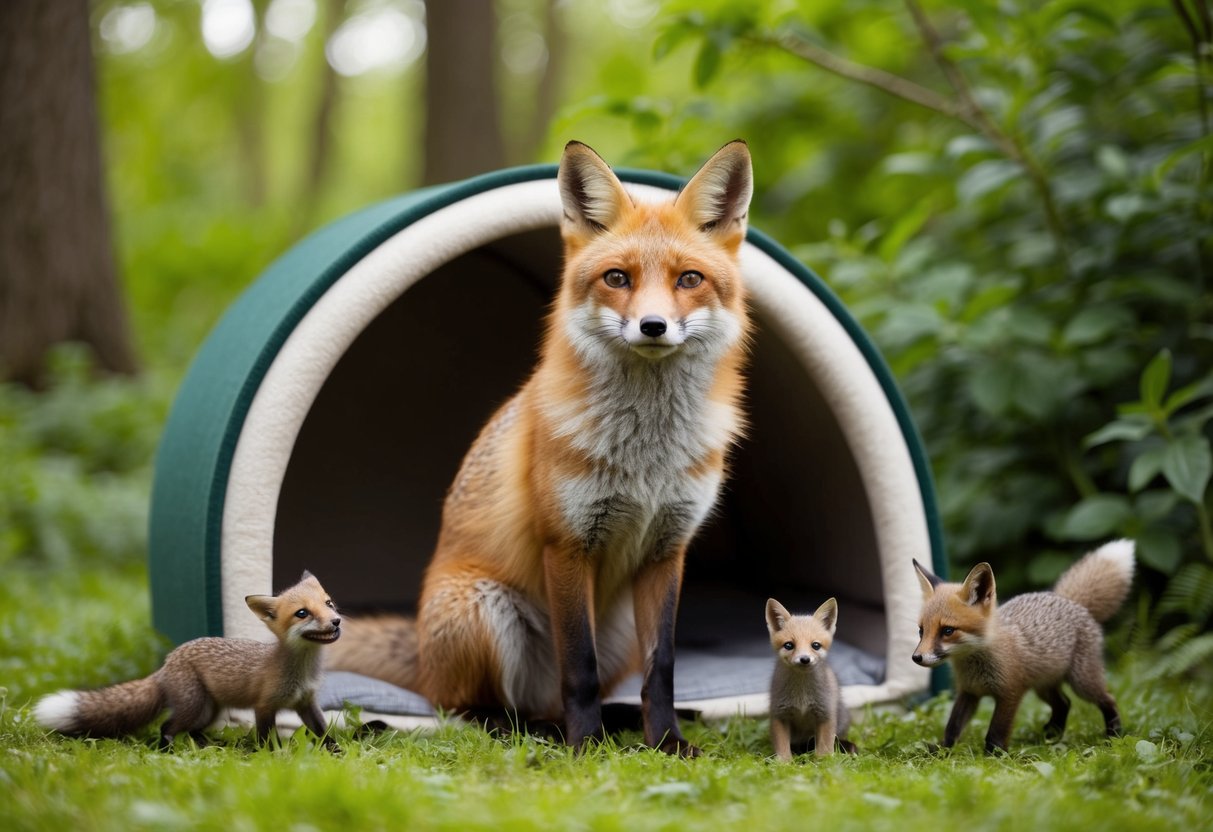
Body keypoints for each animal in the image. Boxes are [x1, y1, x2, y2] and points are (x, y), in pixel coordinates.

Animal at [35, 571, 342, 751]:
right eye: (302, 613)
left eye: (328, 604)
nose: (336, 621)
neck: (301, 671)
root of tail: (167, 662)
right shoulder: (264, 706)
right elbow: (268, 738)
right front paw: (273, 757)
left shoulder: (306, 703)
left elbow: (323, 732)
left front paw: (336, 753)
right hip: (194, 706)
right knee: (167, 727)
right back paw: (167, 749)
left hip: (209, 711)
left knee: (193, 731)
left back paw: (211, 747)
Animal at [326, 140, 754, 755]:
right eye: (617, 277)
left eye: (689, 278)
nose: (652, 326)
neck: (646, 456)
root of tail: (424, 658)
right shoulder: (567, 544)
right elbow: (579, 666)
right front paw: (586, 747)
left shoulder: (667, 550)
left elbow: (664, 669)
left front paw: (668, 743)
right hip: (486, 610)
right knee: (472, 711)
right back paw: (541, 733)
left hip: (618, 628)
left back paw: (610, 721)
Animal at [765, 597, 856, 759]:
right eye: (789, 645)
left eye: (815, 645)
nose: (805, 659)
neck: (802, 696)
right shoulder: (779, 714)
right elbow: (783, 749)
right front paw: (784, 763)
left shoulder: (825, 714)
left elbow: (824, 750)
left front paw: (824, 762)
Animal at [912, 539, 1135, 753]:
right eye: (921, 631)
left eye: (948, 631)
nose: (916, 657)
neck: (977, 666)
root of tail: (1070, 600)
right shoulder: (968, 692)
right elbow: (953, 726)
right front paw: (942, 751)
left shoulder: (1010, 692)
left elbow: (996, 731)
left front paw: (994, 756)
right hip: (1043, 685)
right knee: (1064, 703)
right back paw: (1051, 735)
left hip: (1082, 682)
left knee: (1108, 699)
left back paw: (1113, 735)